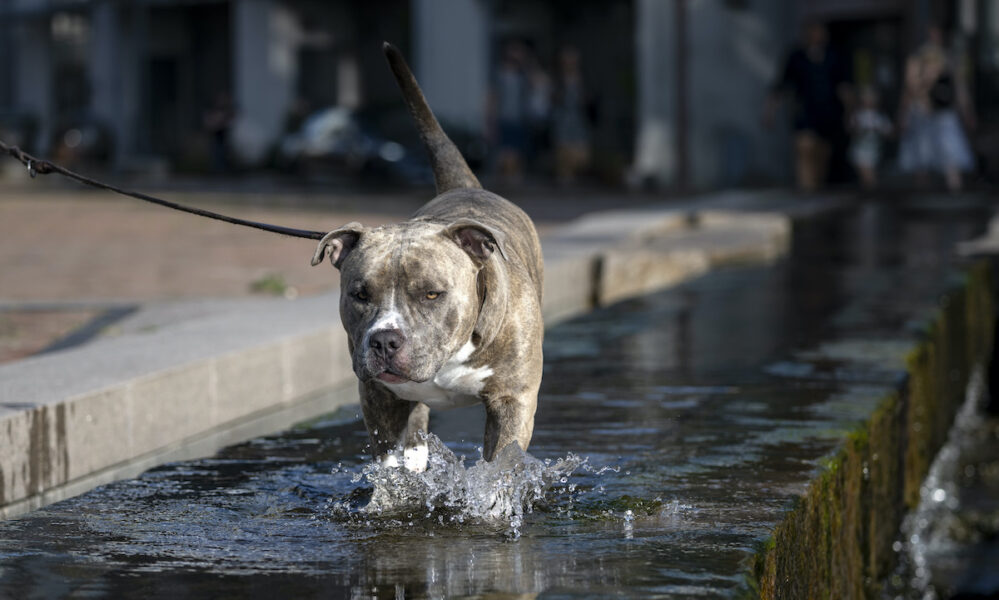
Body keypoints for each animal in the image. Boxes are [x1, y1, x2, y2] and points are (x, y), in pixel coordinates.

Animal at [312, 44, 548, 472]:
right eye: (360, 295)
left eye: (432, 294)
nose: (384, 341)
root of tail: (466, 185)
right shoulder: (378, 396)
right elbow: (391, 469)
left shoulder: (512, 400)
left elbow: (500, 469)